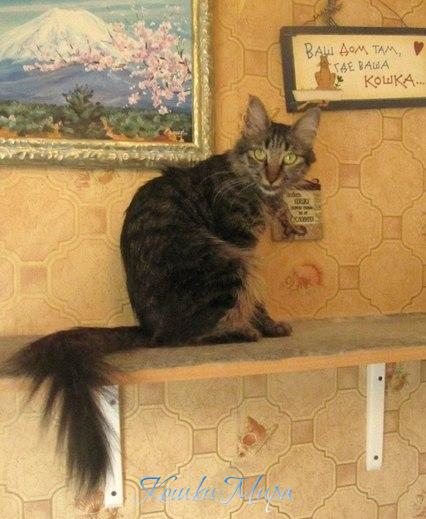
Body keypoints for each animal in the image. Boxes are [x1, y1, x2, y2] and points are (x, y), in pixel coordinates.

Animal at [0, 96, 320, 496]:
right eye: (260, 153)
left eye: (289, 158)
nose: (273, 176)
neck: (254, 188)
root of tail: (147, 325)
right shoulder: (242, 245)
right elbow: (254, 298)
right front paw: (264, 324)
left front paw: (272, 325)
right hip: (222, 260)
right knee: (177, 338)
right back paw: (237, 332)